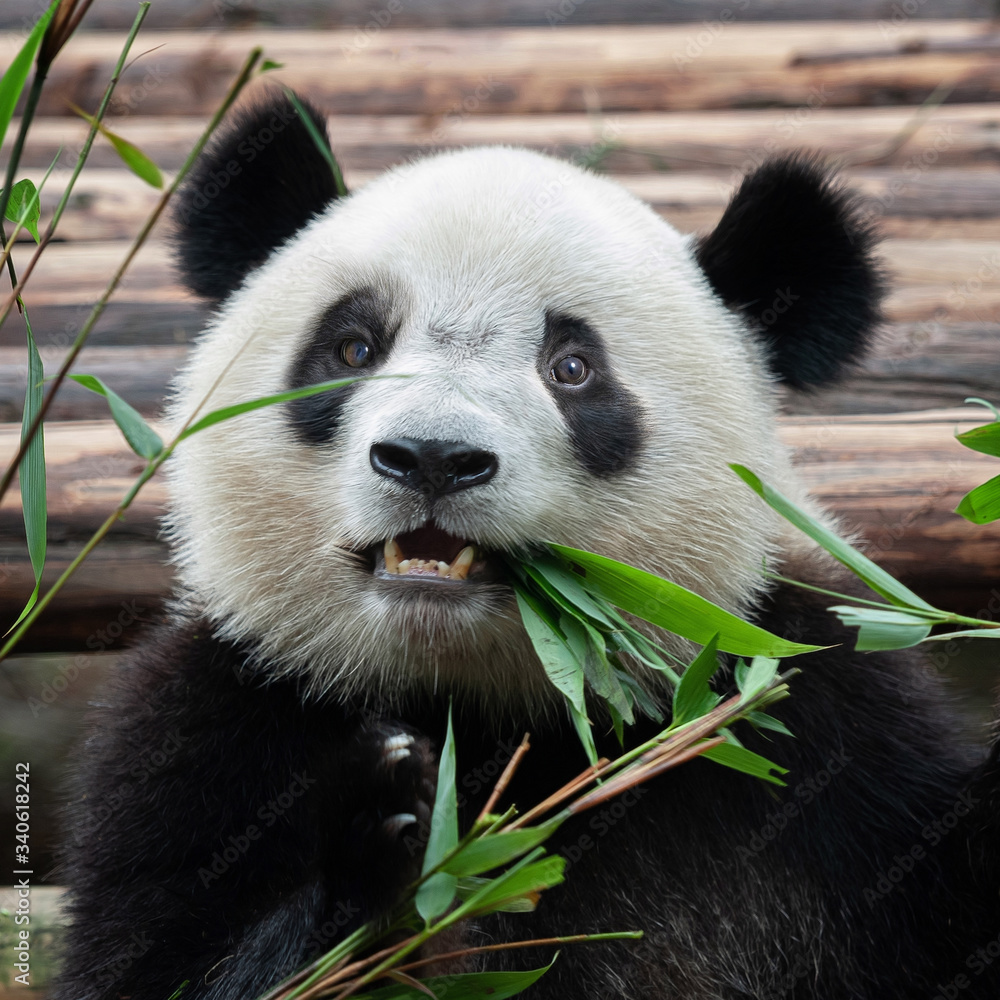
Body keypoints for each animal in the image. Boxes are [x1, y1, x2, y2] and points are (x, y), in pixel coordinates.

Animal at [53, 90, 1000, 1000]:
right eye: (353, 346)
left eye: (572, 367)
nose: (433, 456)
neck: (493, 709)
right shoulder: (214, 722)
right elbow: (158, 966)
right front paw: (387, 837)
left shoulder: (816, 732)